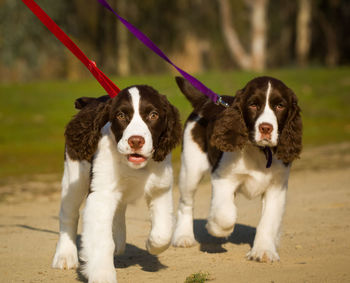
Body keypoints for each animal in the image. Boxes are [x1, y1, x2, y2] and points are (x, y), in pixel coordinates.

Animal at [53, 85, 182, 282]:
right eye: (121, 115)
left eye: (153, 115)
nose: (135, 141)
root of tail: (93, 101)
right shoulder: (100, 195)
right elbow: (101, 240)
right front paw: (102, 274)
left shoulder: (161, 188)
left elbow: (163, 232)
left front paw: (151, 244)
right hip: (74, 175)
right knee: (69, 215)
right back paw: (65, 256)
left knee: (119, 208)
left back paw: (118, 239)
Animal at [174, 76, 302, 262]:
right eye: (253, 105)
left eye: (280, 106)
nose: (266, 128)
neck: (260, 151)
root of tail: (205, 101)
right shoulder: (223, 178)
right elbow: (225, 215)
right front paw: (216, 228)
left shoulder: (276, 187)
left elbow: (269, 220)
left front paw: (264, 251)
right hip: (190, 169)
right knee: (186, 203)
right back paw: (183, 237)